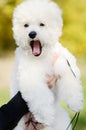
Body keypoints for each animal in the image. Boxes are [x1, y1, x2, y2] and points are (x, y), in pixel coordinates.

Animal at [11, 0, 83, 130]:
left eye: (42, 24)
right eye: (26, 25)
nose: (32, 34)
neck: (42, 57)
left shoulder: (65, 61)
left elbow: (69, 77)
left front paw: (75, 102)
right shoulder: (30, 77)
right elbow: (40, 96)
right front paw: (45, 116)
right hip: (19, 125)